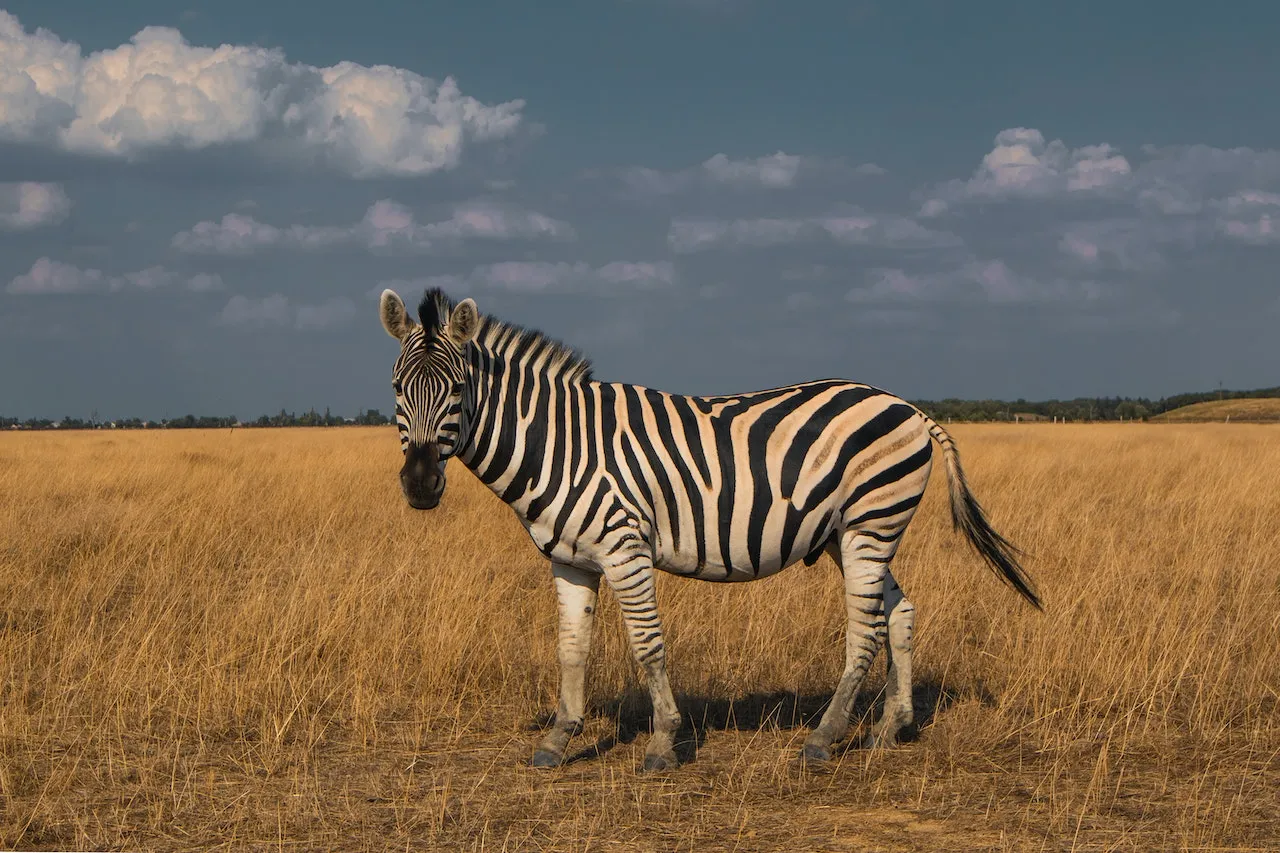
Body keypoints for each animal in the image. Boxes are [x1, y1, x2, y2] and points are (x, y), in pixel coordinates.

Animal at [378, 286, 1039, 768]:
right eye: (397, 388)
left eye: (457, 389)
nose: (420, 485)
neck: (559, 444)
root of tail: (911, 409)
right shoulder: (569, 558)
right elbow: (570, 648)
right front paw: (557, 741)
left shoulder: (624, 546)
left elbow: (647, 645)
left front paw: (663, 744)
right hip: (851, 534)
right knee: (898, 612)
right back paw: (888, 729)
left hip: (869, 524)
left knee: (866, 629)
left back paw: (823, 739)